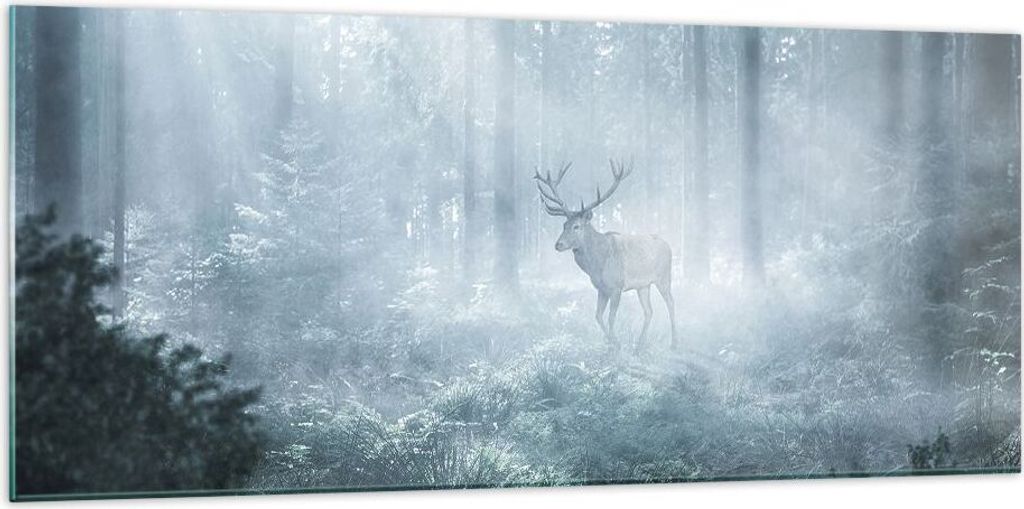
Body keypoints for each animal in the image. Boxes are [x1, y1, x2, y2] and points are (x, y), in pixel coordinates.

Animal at [535, 159, 678, 353]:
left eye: (577, 226)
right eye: (564, 225)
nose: (558, 244)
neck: (597, 265)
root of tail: (668, 245)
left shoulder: (616, 286)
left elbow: (611, 318)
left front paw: (615, 346)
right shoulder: (601, 288)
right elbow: (597, 316)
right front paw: (611, 343)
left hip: (664, 277)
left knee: (671, 303)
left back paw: (674, 343)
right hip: (643, 285)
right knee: (649, 311)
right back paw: (639, 345)